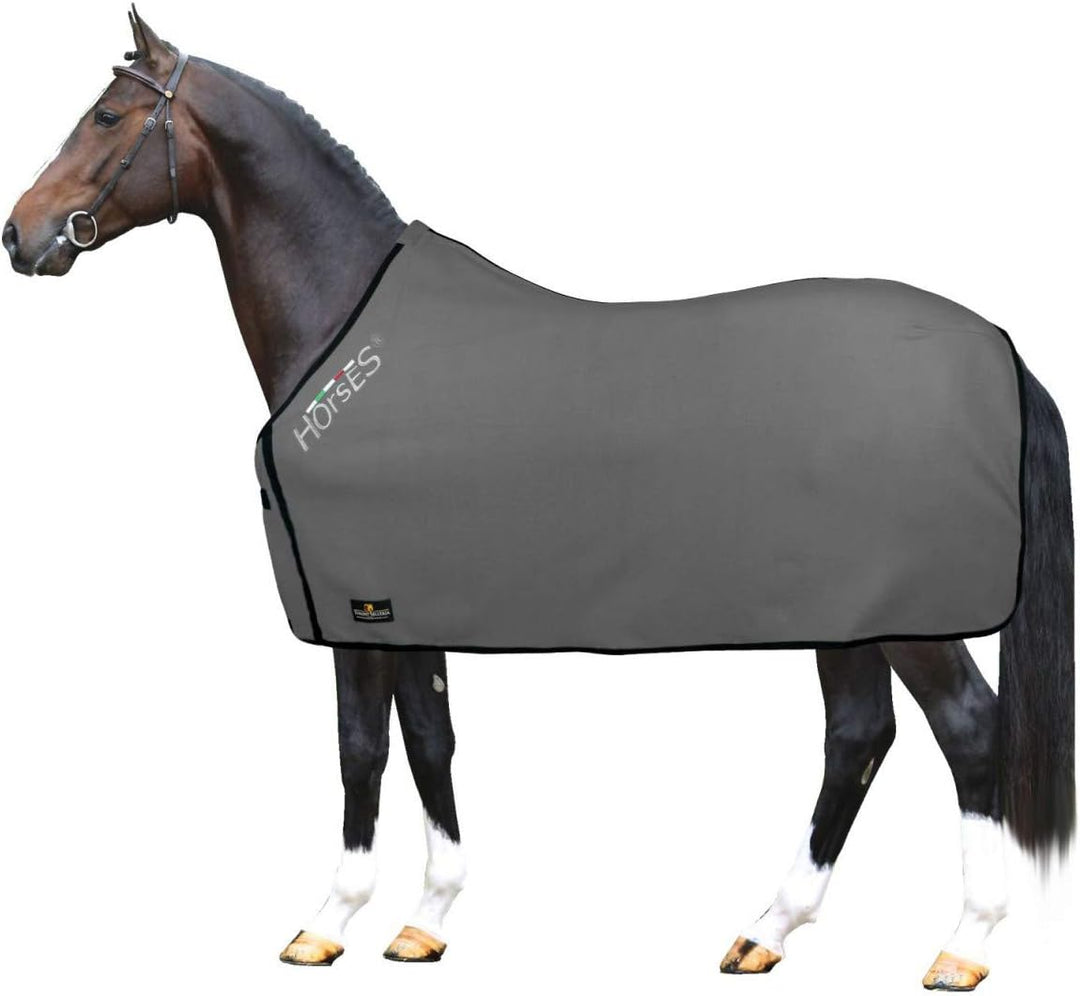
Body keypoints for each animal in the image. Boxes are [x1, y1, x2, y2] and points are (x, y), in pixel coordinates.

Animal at [3, 8, 1073, 989]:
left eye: (106, 116)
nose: (21, 234)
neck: (347, 327)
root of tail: (999, 349)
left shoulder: (353, 607)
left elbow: (361, 748)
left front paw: (328, 921)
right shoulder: (403, 606)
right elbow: (429, 739)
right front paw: (425, 920)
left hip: (911, 618)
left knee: (966, 731)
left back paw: (963, 945)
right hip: (846, 615)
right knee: (858, 738)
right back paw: (766, 930)